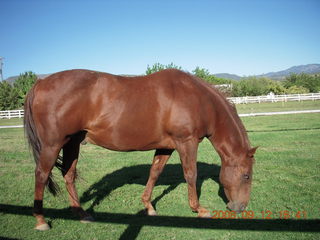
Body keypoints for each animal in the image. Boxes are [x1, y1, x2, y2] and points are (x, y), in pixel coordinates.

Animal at [23, 68, 256, 230]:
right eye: (246, 176)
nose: (239, 208)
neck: (198, 99)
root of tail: (40, 82)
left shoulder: (166, 147)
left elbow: (154, 173)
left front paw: (149, 206)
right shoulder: (187, 142)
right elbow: (191, 174)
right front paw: (198, 209)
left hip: (72, 143)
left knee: (68, 175)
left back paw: (82, 214)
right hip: (53, 145)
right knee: (41, 175)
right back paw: (41, 220)